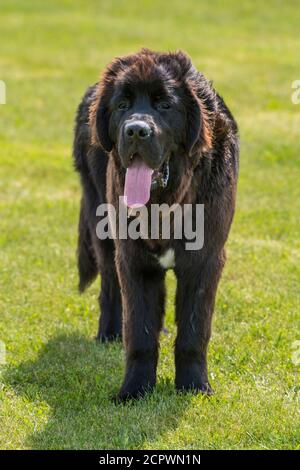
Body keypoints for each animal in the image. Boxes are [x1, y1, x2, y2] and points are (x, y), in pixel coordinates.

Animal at [73, 48, 239, 400]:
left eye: (165, 105)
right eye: (122, 105)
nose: (136, 130)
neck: (164, 204)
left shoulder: (205, 260)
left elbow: (193, 332)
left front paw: (194, 387)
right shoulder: (133, 260)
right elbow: (139, 333)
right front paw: (134, 390)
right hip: (101, 224)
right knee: (110, 284)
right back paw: (108, 333)